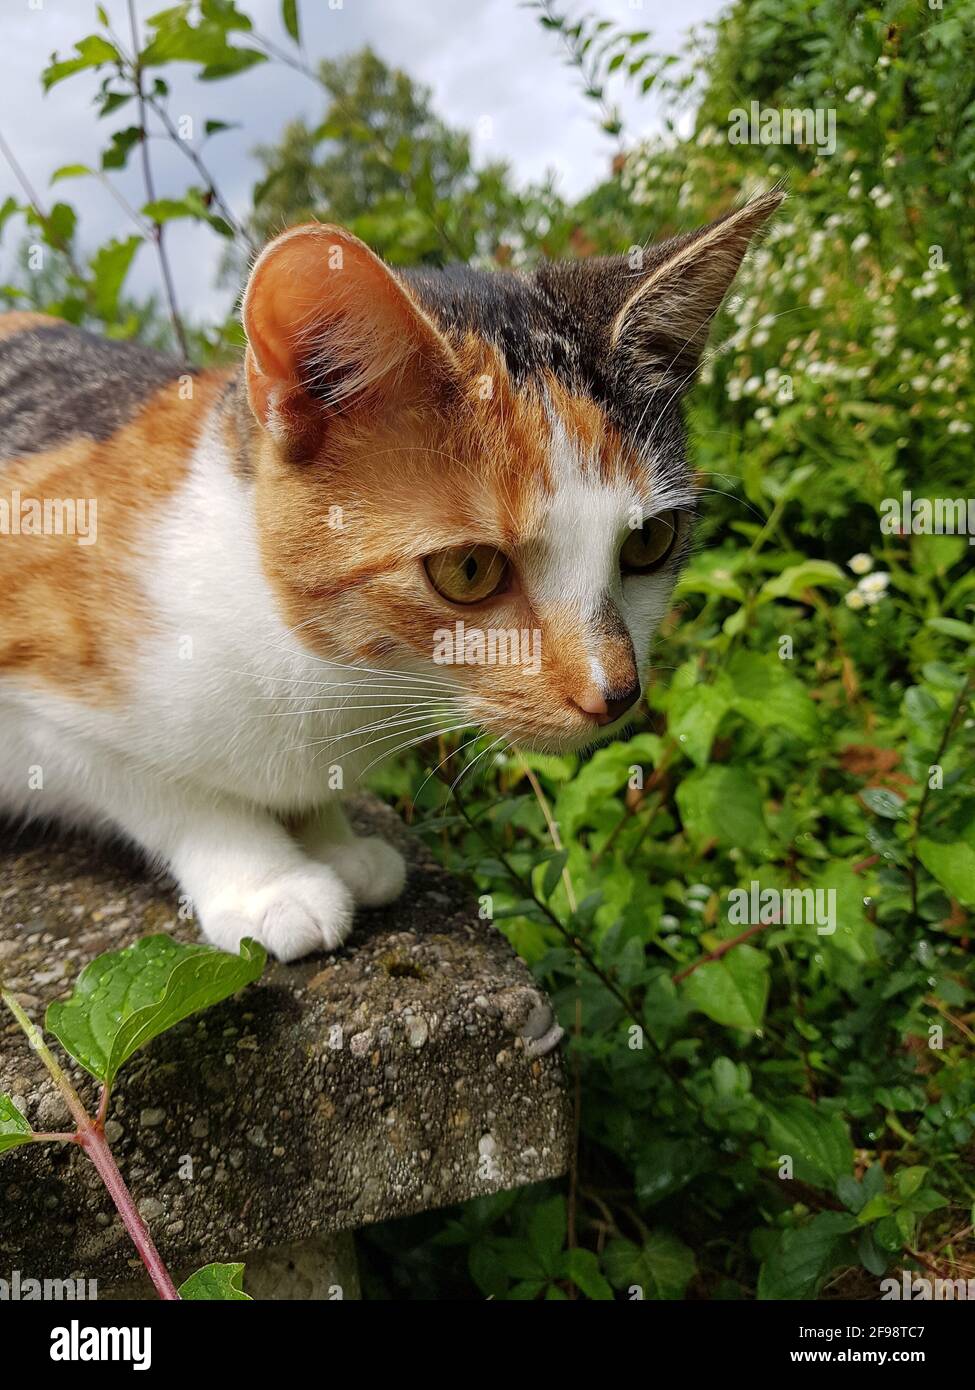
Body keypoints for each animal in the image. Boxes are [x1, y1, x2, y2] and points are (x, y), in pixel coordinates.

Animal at [0, 190, 778, 961]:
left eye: (648, 542)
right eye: (468, 569)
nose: (613, 692)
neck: (338, 672)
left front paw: (335, 841)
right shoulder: (40, 700)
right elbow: (168, 795)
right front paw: (267, 882)